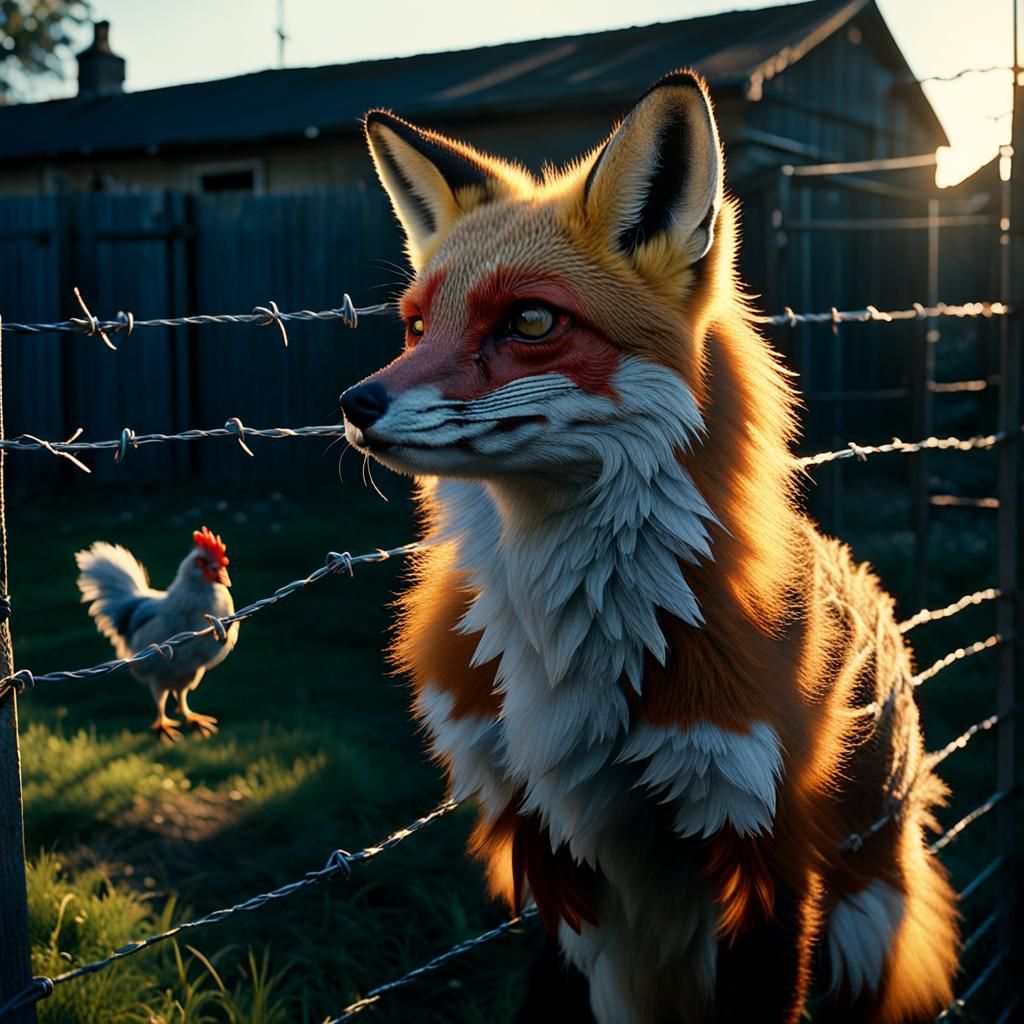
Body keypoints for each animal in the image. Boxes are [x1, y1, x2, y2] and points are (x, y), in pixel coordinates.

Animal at [341, 71, 959, 1023]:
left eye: (530, 321)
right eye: (415, 326)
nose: (354, 404)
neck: (575, 650)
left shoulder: (768, 853)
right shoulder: (549, 844)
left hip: (859, 934)